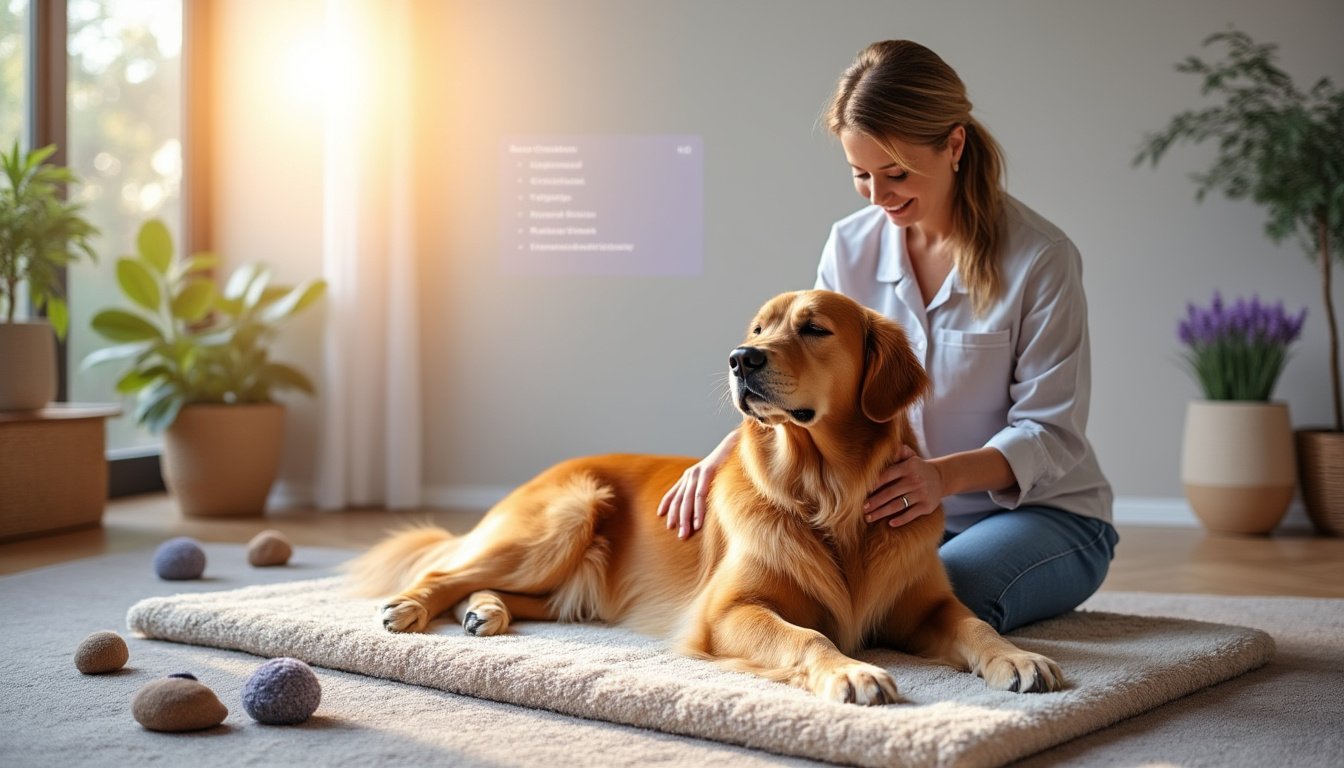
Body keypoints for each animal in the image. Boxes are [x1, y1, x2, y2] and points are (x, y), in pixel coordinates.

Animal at [352, 287, 1064, 704]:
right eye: (759, 327)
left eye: (814, 328)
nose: (740, 358)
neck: (827, 493)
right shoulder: (728, 611)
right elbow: (810, 637)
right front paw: (852, 672)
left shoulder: (925, 606)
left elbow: (976, 624)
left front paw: (1020, 658)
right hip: (563, 518)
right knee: (446, 571)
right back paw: (412, 608)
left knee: (509, 592)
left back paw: (486, 611)